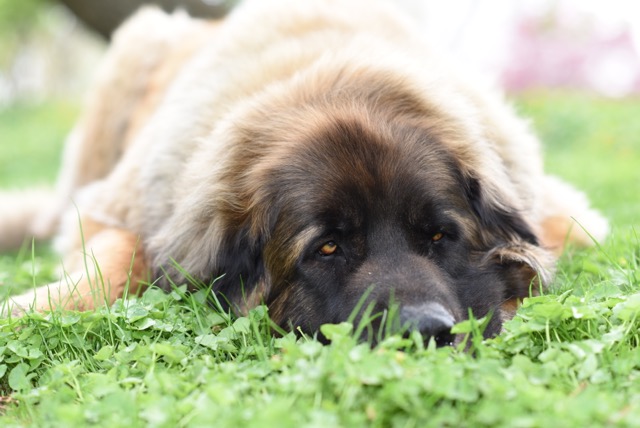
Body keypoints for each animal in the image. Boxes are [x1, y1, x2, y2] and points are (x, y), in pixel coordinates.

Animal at [1, 0, 608, 346]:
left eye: (440, 237)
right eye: (327, 249)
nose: (425, 332)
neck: (329, 82)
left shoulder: (562, 214)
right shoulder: (116, 209)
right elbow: (121, 259)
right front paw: (31, 308)